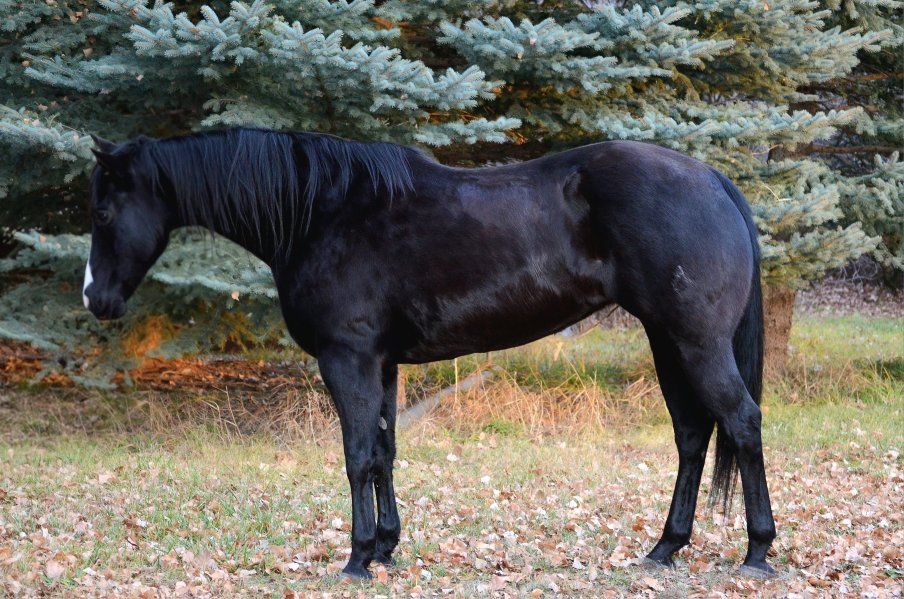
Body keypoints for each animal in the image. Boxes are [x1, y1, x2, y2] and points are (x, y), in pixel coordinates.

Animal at [82, 128, 776, 579]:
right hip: (667, 342)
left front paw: (357, 559)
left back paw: (757, 552)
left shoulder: (349, 359)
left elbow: (358, 456)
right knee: (692, 435)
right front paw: (386, 547)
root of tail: (711, 178)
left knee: (741, 423)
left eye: (105, 211)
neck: (323, 213)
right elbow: (385, 451)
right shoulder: (382, 363)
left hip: (696, 342)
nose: (95, 298)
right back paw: (665, 548)